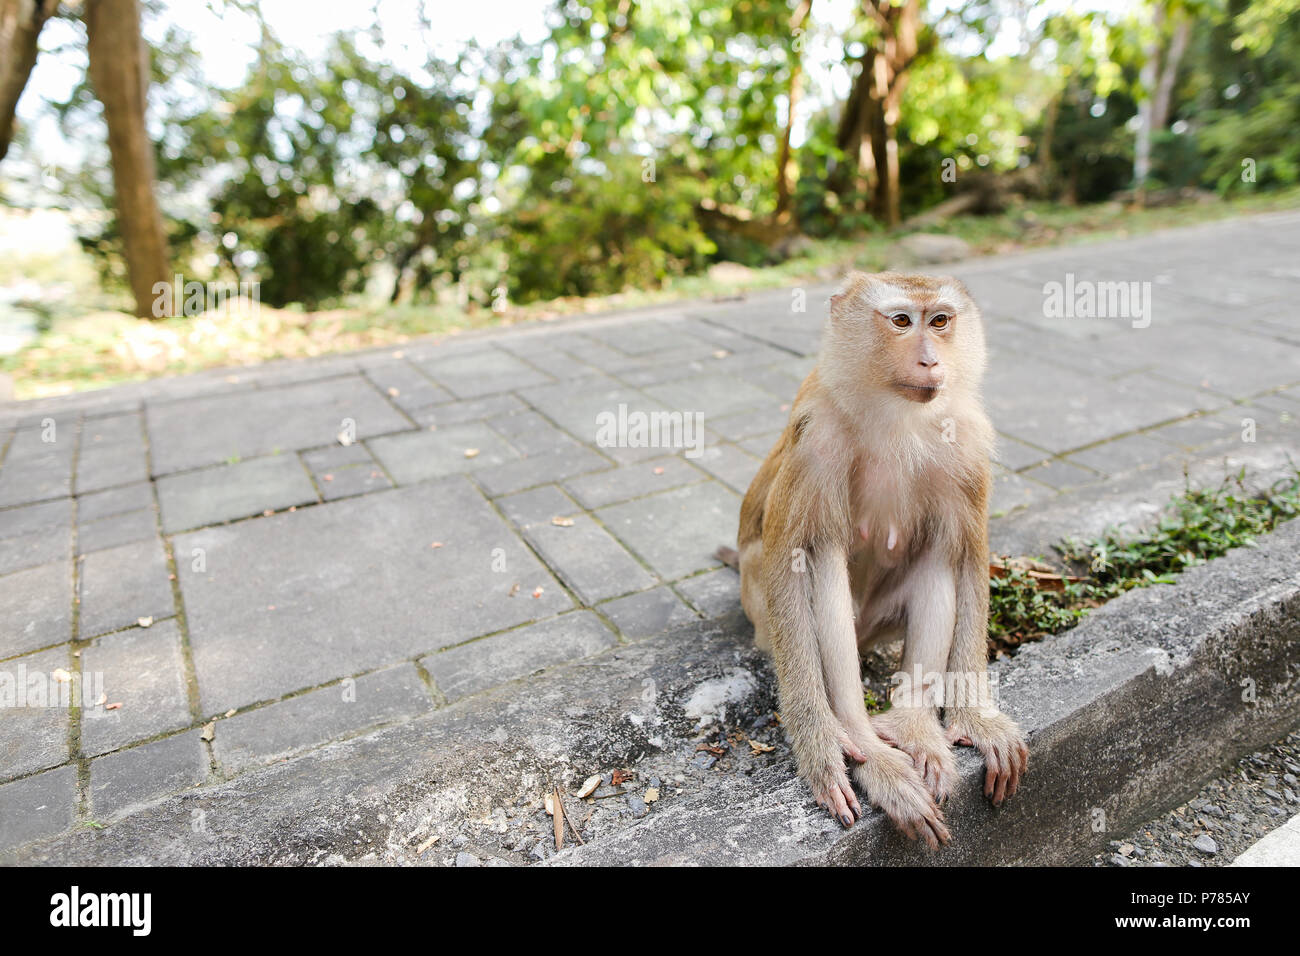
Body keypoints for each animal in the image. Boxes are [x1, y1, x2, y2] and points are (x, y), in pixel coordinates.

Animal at [717, 273, 1029, 848]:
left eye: (940, 321)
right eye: (902, 321)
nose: (930, 360)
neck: (895, 413)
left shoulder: (968, 441)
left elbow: (967, 554)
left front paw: (976, 715)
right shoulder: (814, 436)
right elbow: (791, 563)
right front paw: (821, 747)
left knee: (939, 553)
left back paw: (913, 728)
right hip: (763, 617)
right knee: (820, 562)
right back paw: (867, 744)